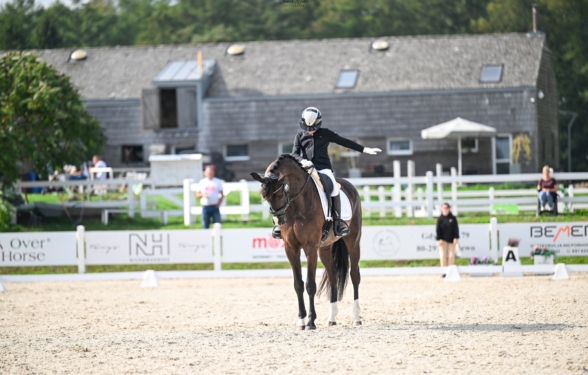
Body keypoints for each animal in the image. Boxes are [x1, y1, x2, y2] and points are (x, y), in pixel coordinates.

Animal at [249, 154, 360, 330]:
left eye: (280, 195)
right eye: (265, 198)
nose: (279, 221)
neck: (297, 205)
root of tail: (350, 185)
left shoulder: (310, 248)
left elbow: (310, 284)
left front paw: (311, 322)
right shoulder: (291, 248)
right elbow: (298, 285)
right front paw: (301, 321)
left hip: (353, 241)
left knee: (355, 274)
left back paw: (356, 318)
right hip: (325, 248)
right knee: (333, 274)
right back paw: (332, 318)